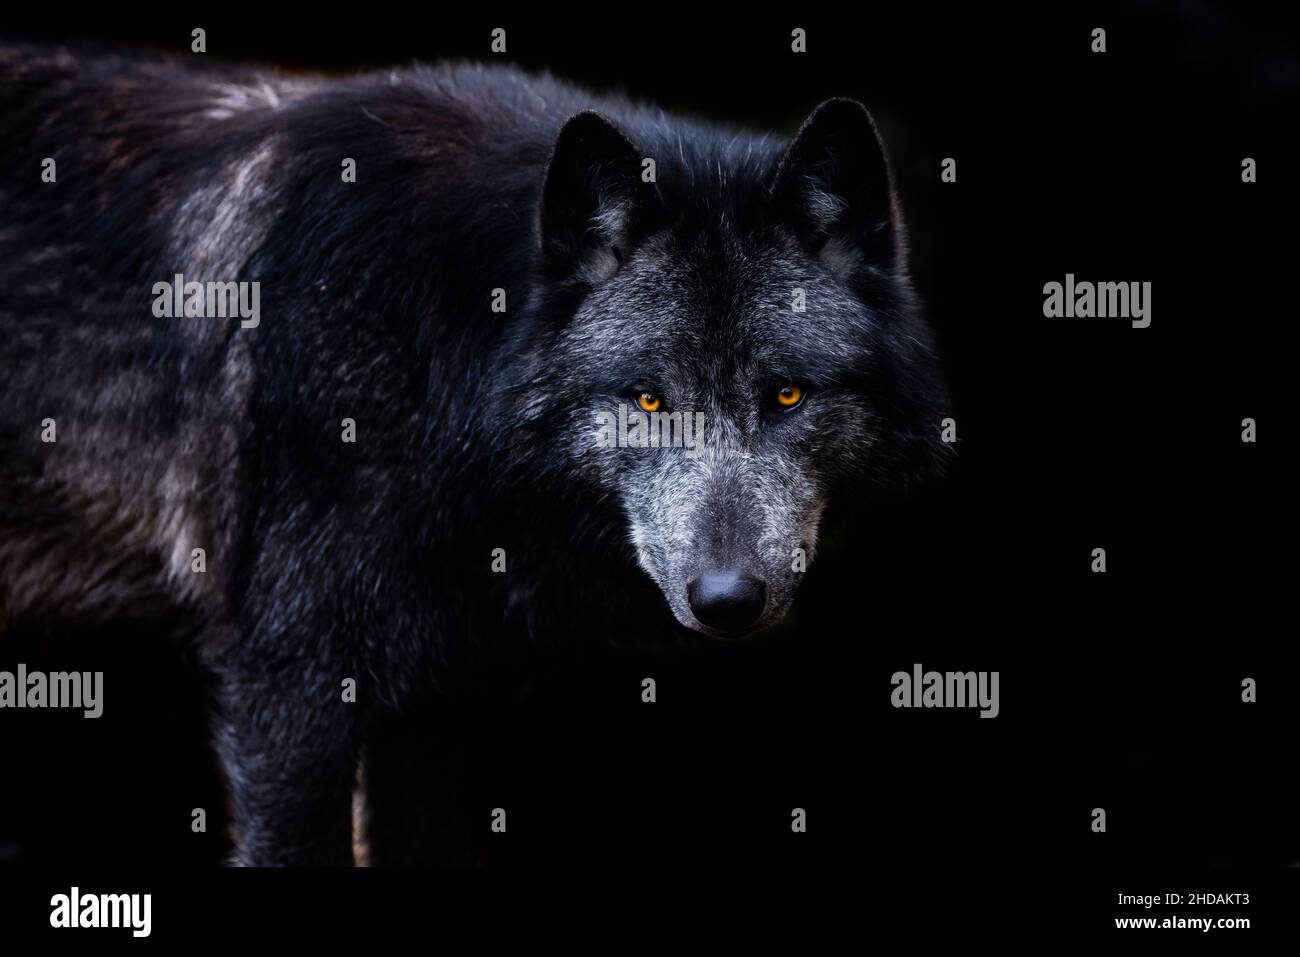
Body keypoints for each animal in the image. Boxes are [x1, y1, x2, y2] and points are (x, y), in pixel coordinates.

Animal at [0, 44, 948, 864]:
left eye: (787, 395)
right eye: (647, 399)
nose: (727, 599)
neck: (436, 355)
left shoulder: (443, 706)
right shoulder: (284, 692)